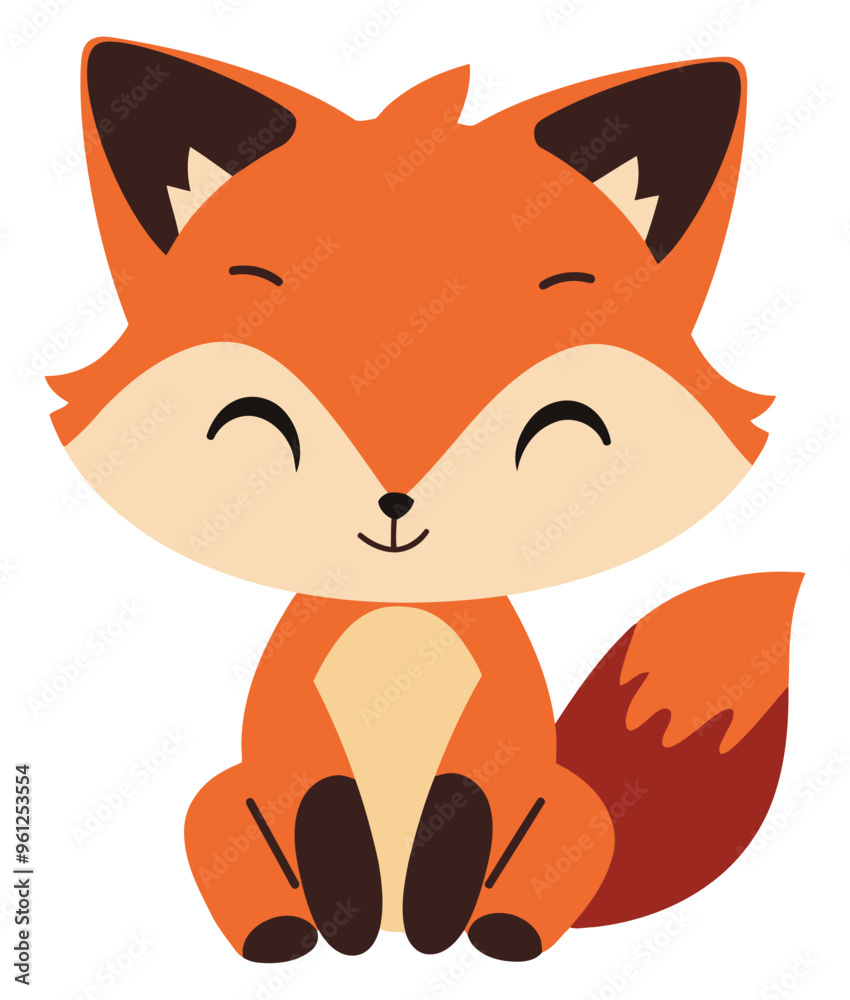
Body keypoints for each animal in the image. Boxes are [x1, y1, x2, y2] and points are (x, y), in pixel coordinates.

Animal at [48, 38, 803, 963]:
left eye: (555, 426)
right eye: (259, 421)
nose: (396, 503)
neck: (400, 613)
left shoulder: (499, 734)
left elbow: (464, 803)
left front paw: (443, 907)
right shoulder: (292, 732)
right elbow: (323, 801)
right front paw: (343, 912)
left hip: (573, 814)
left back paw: (498, 929)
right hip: (217, 806)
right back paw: (285, 932)